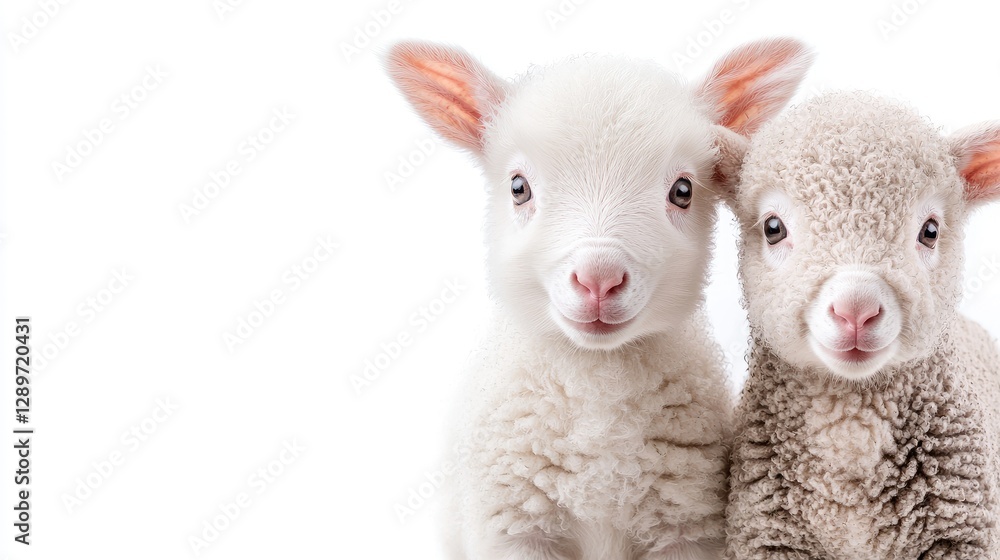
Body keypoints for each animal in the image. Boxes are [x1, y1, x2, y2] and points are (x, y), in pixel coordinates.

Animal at [384, 39, 813, 560]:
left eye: (683, 190)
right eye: (518, 187)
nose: (599, 278)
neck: (599, 385)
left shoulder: (686, 526)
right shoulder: (514, 527)